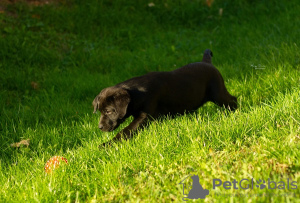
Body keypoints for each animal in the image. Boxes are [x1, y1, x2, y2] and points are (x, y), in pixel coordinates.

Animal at [92, 49, 238, 146]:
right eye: (100, 111)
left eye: (109, 111)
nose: (100, 127)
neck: (135, 94)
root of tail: (207, 62)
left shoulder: (144, 116)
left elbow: (126, 131)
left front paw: (108, 145)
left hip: (218, 94)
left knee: (232, 100)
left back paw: (234, 113)